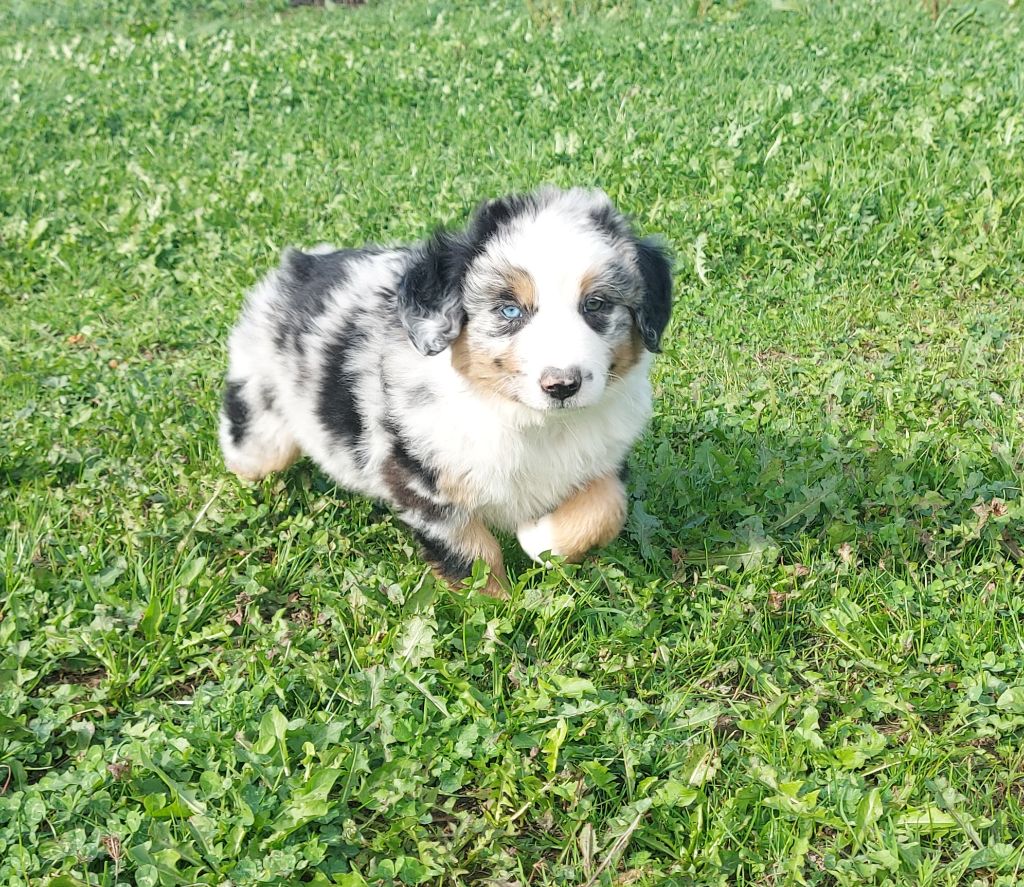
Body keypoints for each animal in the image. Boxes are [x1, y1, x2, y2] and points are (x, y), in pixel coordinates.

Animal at [219, 186, 672, 596]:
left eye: (596, 305)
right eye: (509, 310)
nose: (561, 385)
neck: (532, 422)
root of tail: (299, 265)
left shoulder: (605, 457)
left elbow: (606, 509)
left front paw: (539, 538)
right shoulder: (422, 480)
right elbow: (472, 558)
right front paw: (498, 609)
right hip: (261, 417)